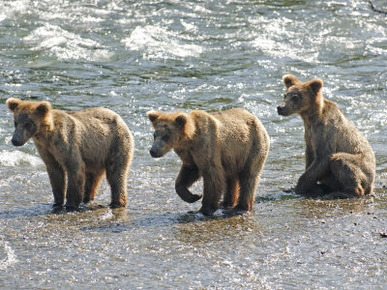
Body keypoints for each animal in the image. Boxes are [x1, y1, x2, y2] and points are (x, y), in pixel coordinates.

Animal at [6, 98, 135, 210]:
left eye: (28, 123)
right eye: (15, 122)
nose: (15, 140)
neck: (47, 136)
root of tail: (120, 118)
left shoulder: (65, 141)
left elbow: (74, 167)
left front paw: (71, 203)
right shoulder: (46, 149)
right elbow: (55, 173)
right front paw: (57, 201)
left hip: (115, 142)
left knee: (116, 173)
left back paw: (117, 202)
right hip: (96, 154)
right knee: (92, 176)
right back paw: (87, 198)